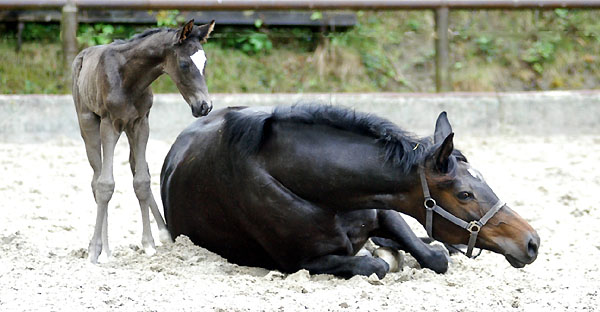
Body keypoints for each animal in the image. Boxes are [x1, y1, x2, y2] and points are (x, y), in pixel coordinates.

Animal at [71, 20, 216, 264]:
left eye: (204, 62)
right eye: (184, 63)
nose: (204, 106)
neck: (130, 77)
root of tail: (82, 55)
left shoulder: (141, 123)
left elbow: (142, 181)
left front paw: (150, 244)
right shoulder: (109, 124)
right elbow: (105, 184)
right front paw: (96, 250)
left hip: (128, 130)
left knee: (135, 167)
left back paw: (162, 234)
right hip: (88, 122)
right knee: (96, 178)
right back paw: (105, 249)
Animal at [159, 105, 540, 278]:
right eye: (464, 194)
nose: (532, 241)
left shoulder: (385, 209)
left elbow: (433, 257)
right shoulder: (304, 262)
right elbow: (376, 265)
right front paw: (385, 256)